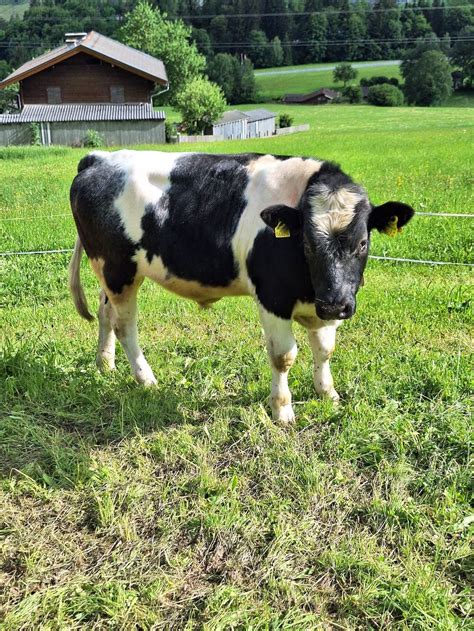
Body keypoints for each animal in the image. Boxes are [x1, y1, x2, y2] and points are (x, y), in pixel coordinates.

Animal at [68, 150, 412, 422]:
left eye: (362, 242)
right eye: (307, 243)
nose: (335, 304)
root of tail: (99, 158)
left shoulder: (324, 304)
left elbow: (325, 350)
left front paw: (327, 393)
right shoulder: (272, 296)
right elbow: (283, 356)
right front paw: (282, 410)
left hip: (111, 274)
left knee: (105, 312)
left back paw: (105, 364)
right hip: (118, 269)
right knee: (125, 326)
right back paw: (145, 378)